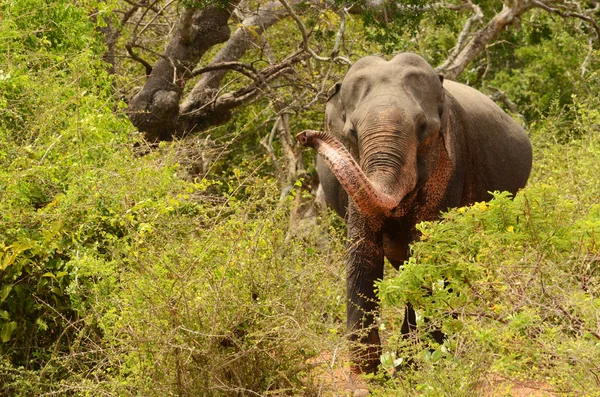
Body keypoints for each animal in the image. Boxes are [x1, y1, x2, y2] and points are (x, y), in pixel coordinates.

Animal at [298, 51, 532, 372]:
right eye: (352, 132)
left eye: (423, 128)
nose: (304, 136)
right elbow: (362, 253)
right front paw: (368, 375)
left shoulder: (449, 167)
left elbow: (427, 257)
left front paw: (409, 368)